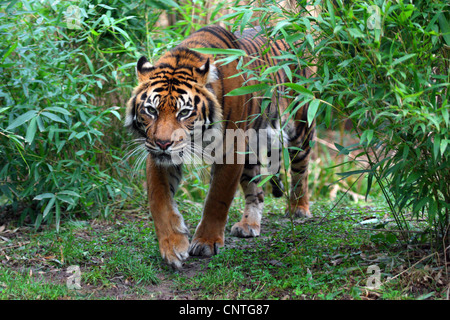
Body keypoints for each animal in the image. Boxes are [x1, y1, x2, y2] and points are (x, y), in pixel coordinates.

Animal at [125, 25, 314, 270]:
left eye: (184, 112)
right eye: (151, 110)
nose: (163, 143)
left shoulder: (231, 150)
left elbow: (217, 197)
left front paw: (206, 242)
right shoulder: (158, 156)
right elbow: (159, 201)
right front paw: (173, 246)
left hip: (301, 125)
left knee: (301, 169)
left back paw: (299, 208)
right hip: (250, 151)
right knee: (256, 190)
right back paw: (249, 225)